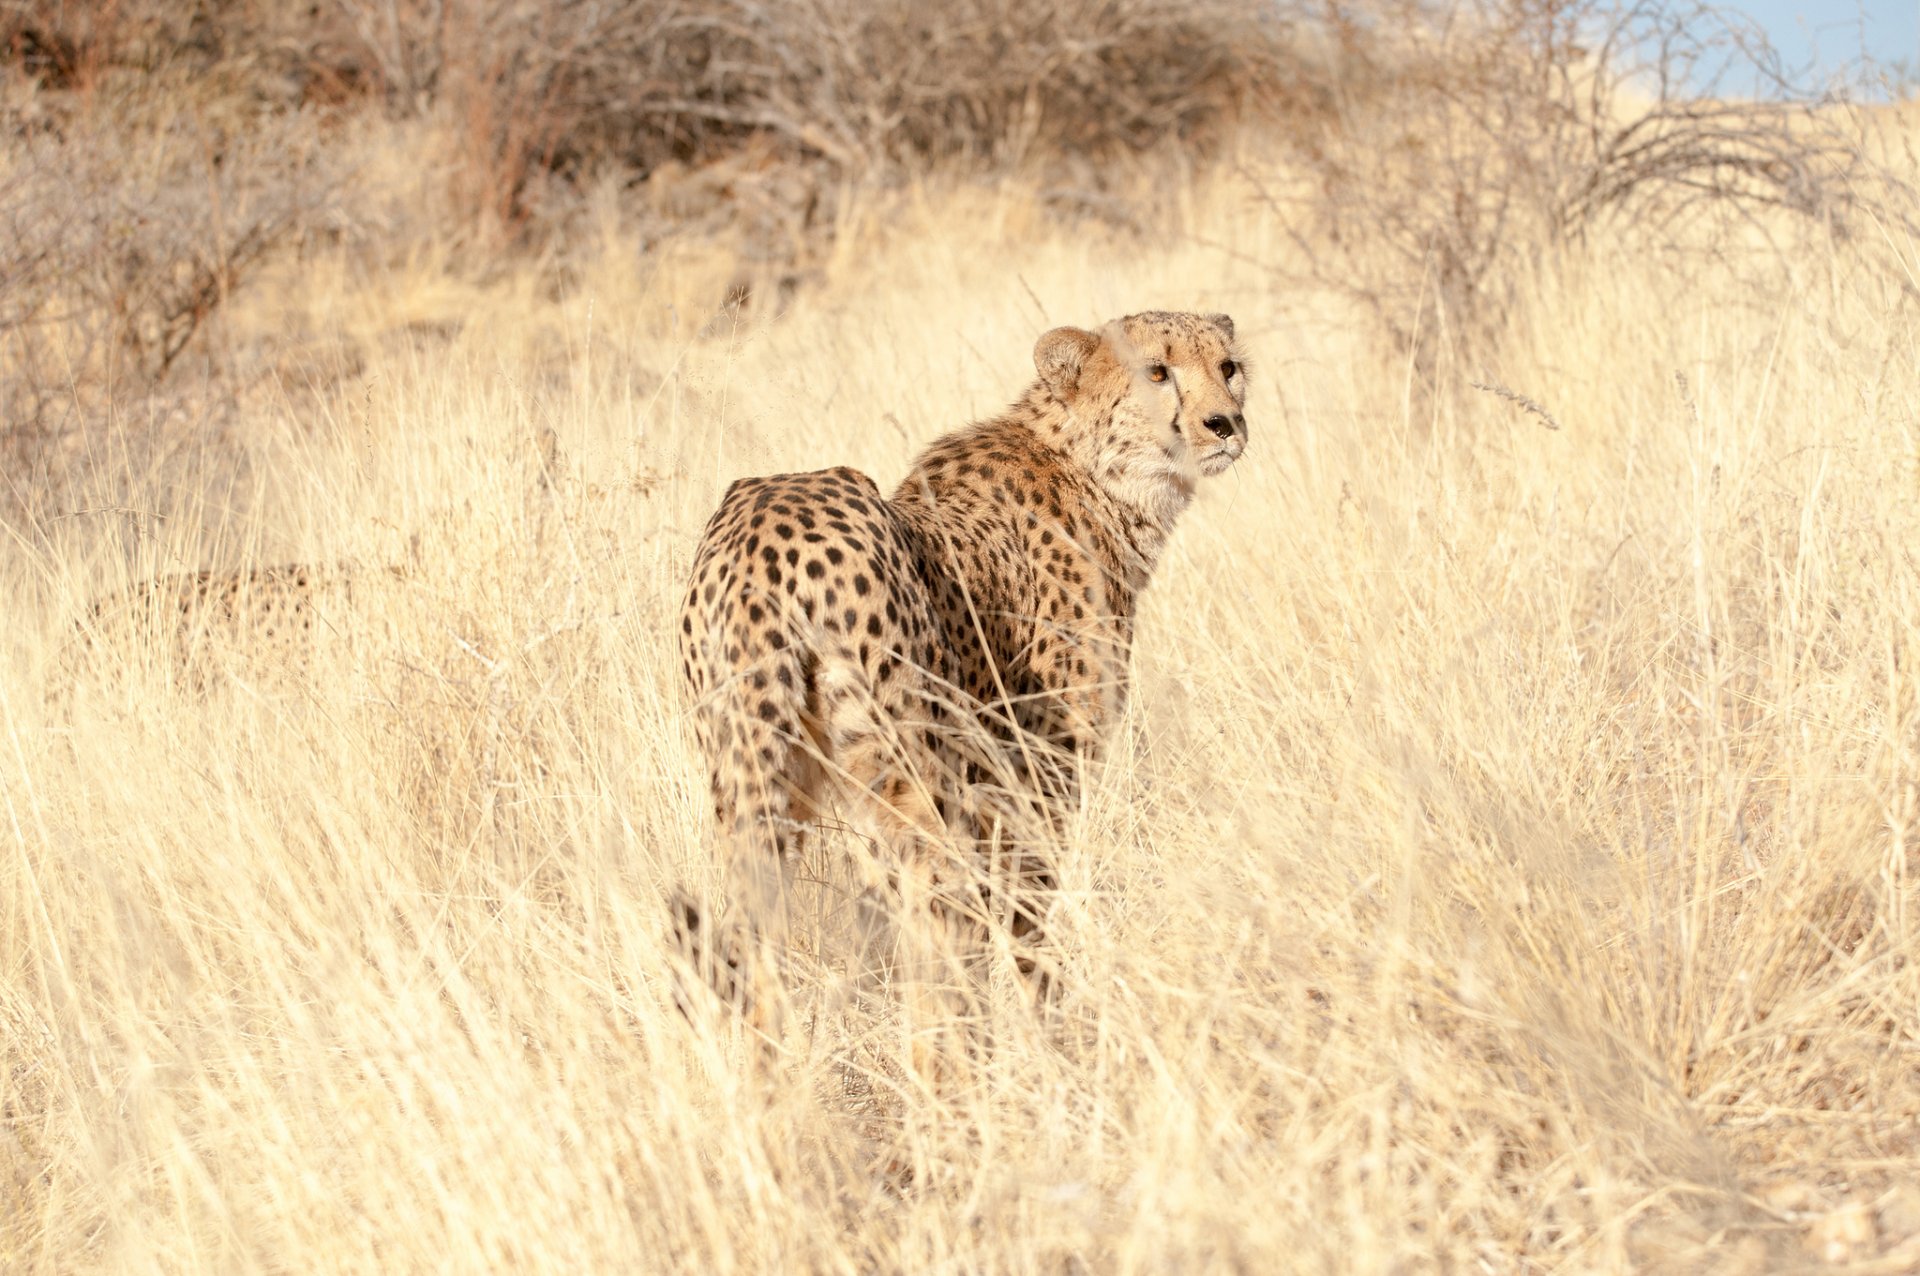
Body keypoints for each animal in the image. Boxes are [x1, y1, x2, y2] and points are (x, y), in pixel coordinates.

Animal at [683, 310, 1251, 1043]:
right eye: (1156, 371)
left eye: (1228, 367)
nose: (1225, 422)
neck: (1096, 469)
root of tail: (773, 523)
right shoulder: (1035, 775)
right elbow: (1028, 920)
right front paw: (1054, 1030)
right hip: (910, 774)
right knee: (933, 946)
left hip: (754, 780)